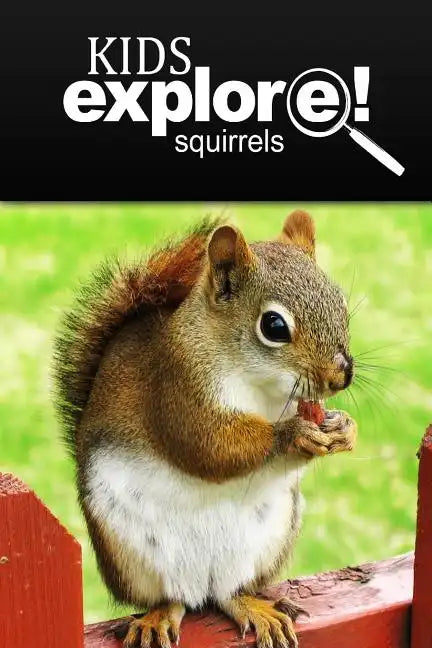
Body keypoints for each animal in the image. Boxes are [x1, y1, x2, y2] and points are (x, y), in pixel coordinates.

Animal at [54, 210, 357, 648]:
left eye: (340, 302)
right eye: (274, 326)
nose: (342, 376)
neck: (260, 384)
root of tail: (201, 585)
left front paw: (344, 429)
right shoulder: (176, 385)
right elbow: (211, 447)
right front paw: (292, 434)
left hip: (268, 540)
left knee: (230, 593)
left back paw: (255, 608)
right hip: (129, 554)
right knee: (168, 597)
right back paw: (157, 617)